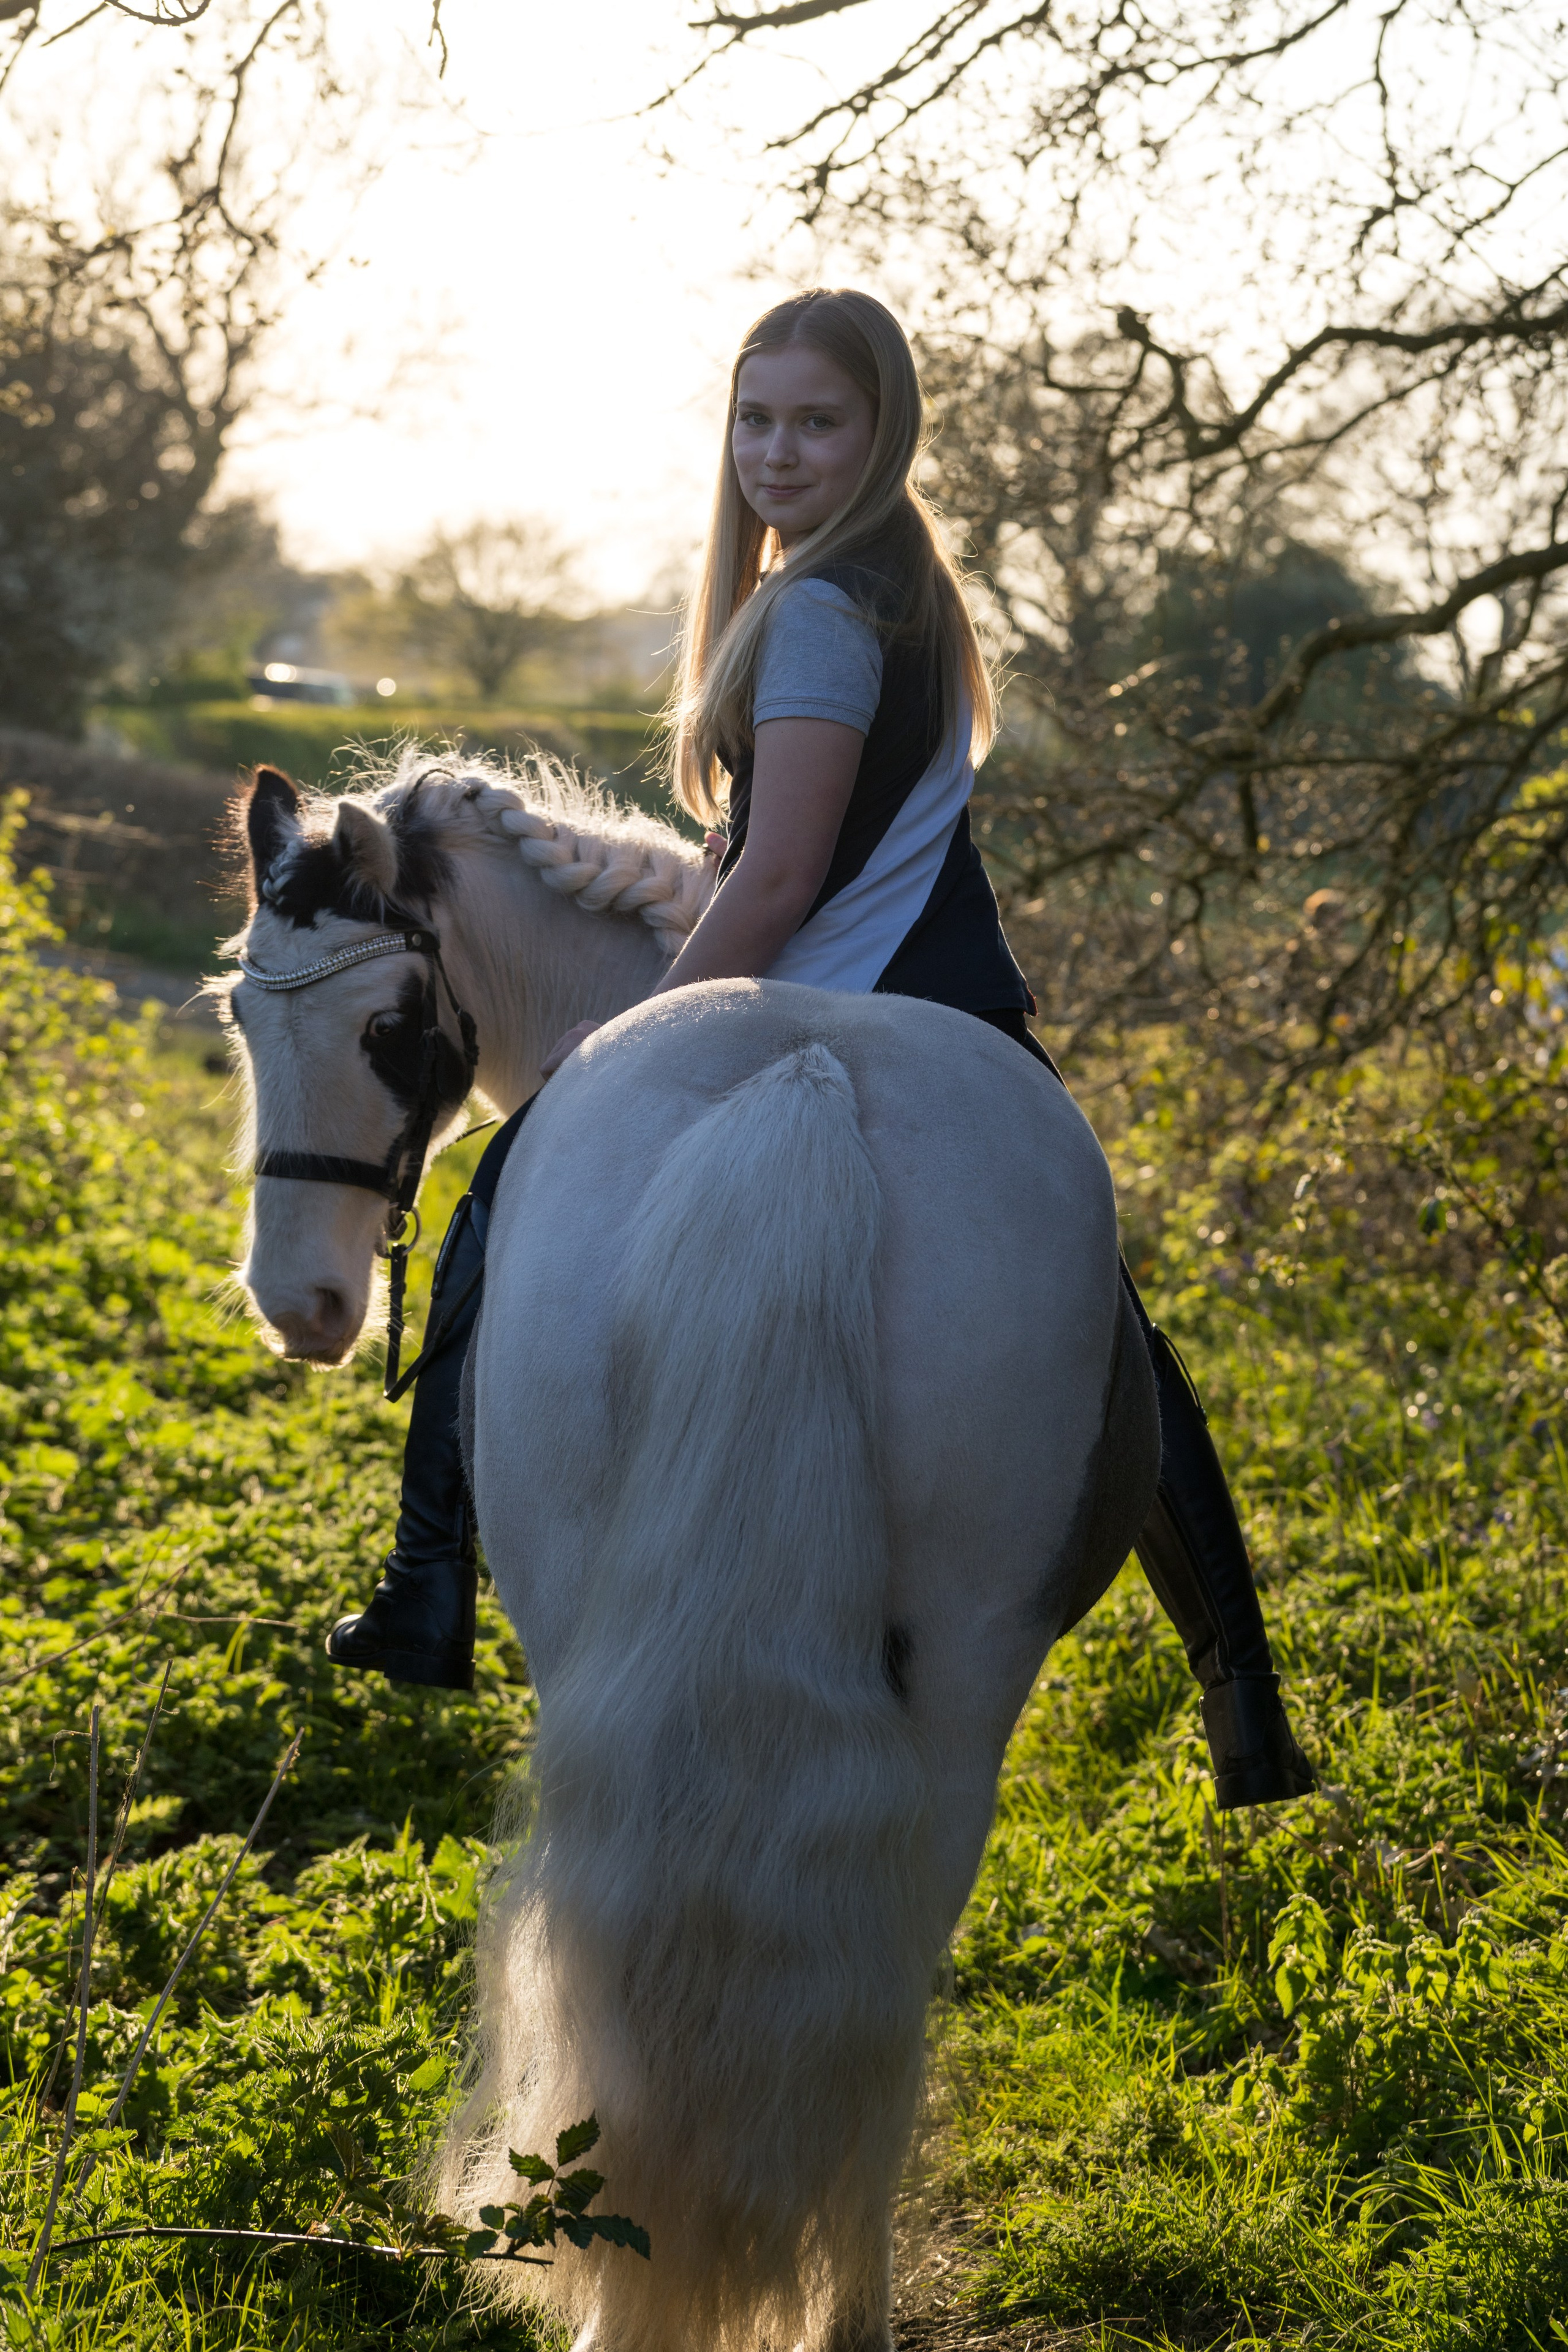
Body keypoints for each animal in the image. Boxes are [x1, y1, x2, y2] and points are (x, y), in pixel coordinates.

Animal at [219, 749, 1160, 2352]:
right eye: (239, 1014)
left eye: (390, 1029)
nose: (300, 1300)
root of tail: (804, 1084)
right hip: (962, 1672)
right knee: (884, 1964)